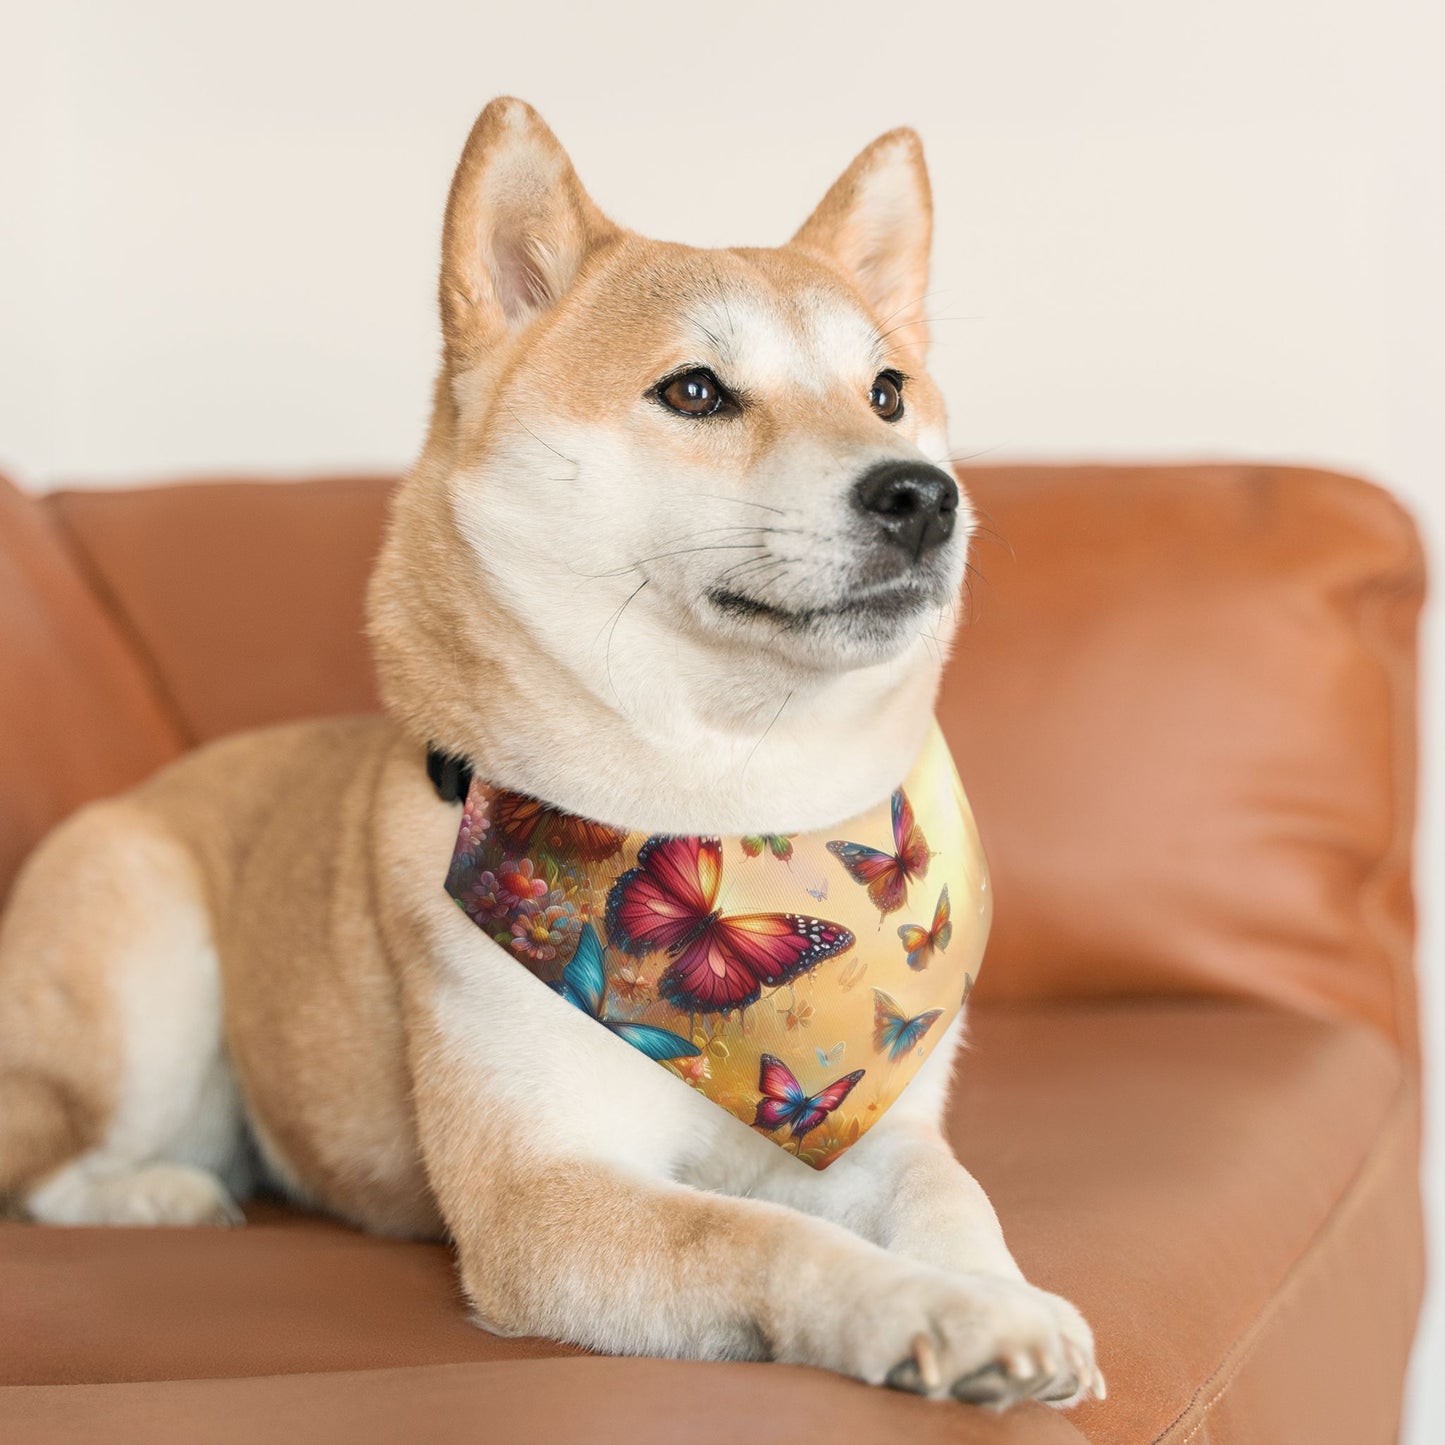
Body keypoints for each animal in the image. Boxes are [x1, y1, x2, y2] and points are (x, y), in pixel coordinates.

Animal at [0, 96, 1098, 1404]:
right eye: (694, 390)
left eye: (886, 390)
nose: (923, 494)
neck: (737, 800)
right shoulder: (542, 1195)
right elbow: (767, 1236)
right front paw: (929, 1309)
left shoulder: (874, 1124)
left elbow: (950, 1194)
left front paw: (1002, 1293)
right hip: (145, 962)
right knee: (48, 1164)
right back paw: (162, 1191)